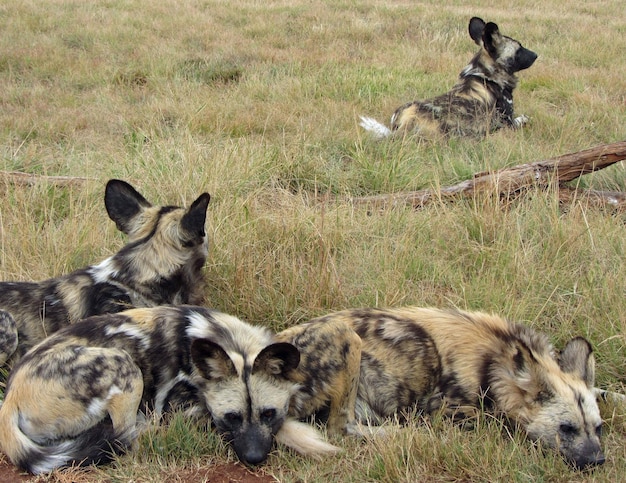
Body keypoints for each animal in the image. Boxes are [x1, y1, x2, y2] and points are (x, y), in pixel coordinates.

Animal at [0, 308, 352, 474]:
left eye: (269, 413)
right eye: (231, 417)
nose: (253, 459)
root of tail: (10, 399)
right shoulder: (180, 410)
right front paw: (313, 442)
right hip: (124, 368)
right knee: (126, 439)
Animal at [294, 308, 612, 470]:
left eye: (598, 428)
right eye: (566, 428)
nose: (598, 461)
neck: (496, 364)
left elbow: (606, 393)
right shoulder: (447, 410)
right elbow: (492, 420)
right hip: (345, 337)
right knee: (341, 428)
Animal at [360, 17, 536, 140]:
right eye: (519, 49)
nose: (536, 54)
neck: (486, 74)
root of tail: (407, 119)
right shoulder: (507, 124)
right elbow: (524, 118)